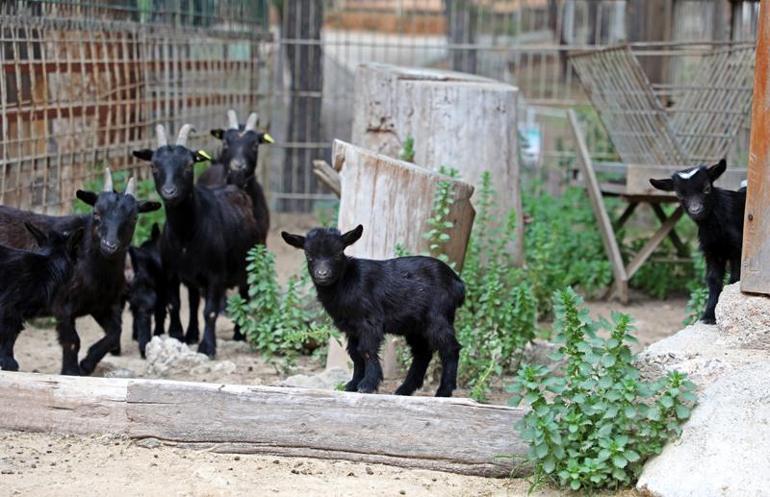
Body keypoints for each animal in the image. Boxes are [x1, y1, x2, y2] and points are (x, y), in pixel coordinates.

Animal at [132, 124, 260, 356]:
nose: (170, 192)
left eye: (189, 165)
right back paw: (192, 333)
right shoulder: (172, 272)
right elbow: (175, 304)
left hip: (248, 263)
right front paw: (177, 336)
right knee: (192, 302)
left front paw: (207, 347)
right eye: (154, 165)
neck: (186, 235)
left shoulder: (215, 274)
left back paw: (239, 334)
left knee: (244, 296)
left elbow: (210, 311)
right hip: (192, 276)